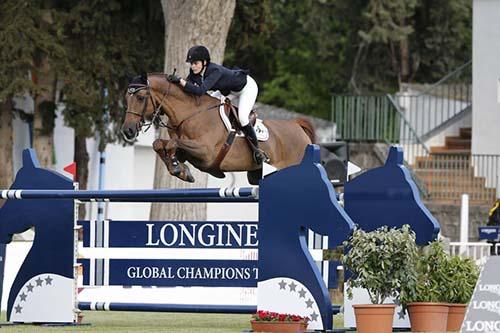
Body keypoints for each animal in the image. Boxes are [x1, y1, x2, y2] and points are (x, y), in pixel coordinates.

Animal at [121, 72, 314, 184]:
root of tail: (297, 126)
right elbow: (160, 144)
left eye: (140, 98)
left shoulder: (206, 151)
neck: (190, 113)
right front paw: (181, 171)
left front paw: (177, 168)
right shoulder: (187, 152)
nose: (127, 130)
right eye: (126, 98)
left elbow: (172, 143)